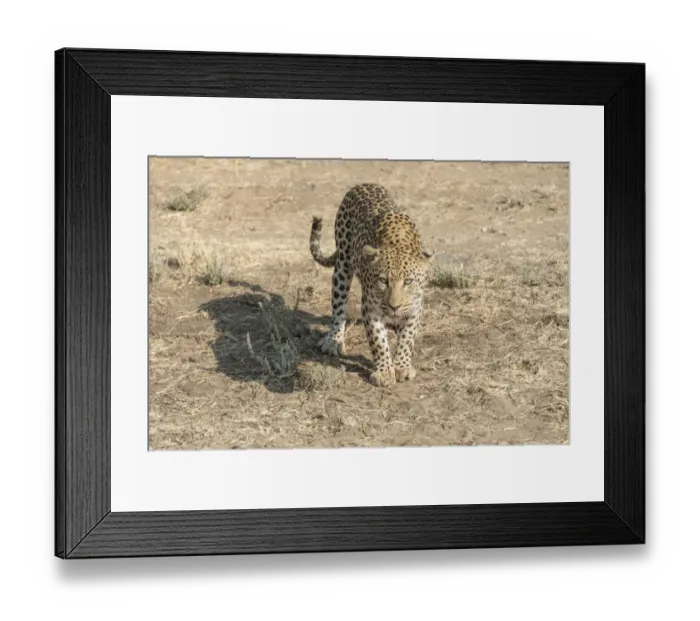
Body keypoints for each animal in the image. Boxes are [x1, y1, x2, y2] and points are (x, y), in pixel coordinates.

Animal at [309, 183, 434, 387]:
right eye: (383, 281)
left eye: (408, 281)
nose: (394, 306)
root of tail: (363, 184)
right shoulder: (370, 307)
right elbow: (378, 340)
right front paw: (384, 372)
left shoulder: (415, 307)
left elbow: (407, 337)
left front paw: (402, 366)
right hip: (342, 266)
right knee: (339, 308)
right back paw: (334, 340)